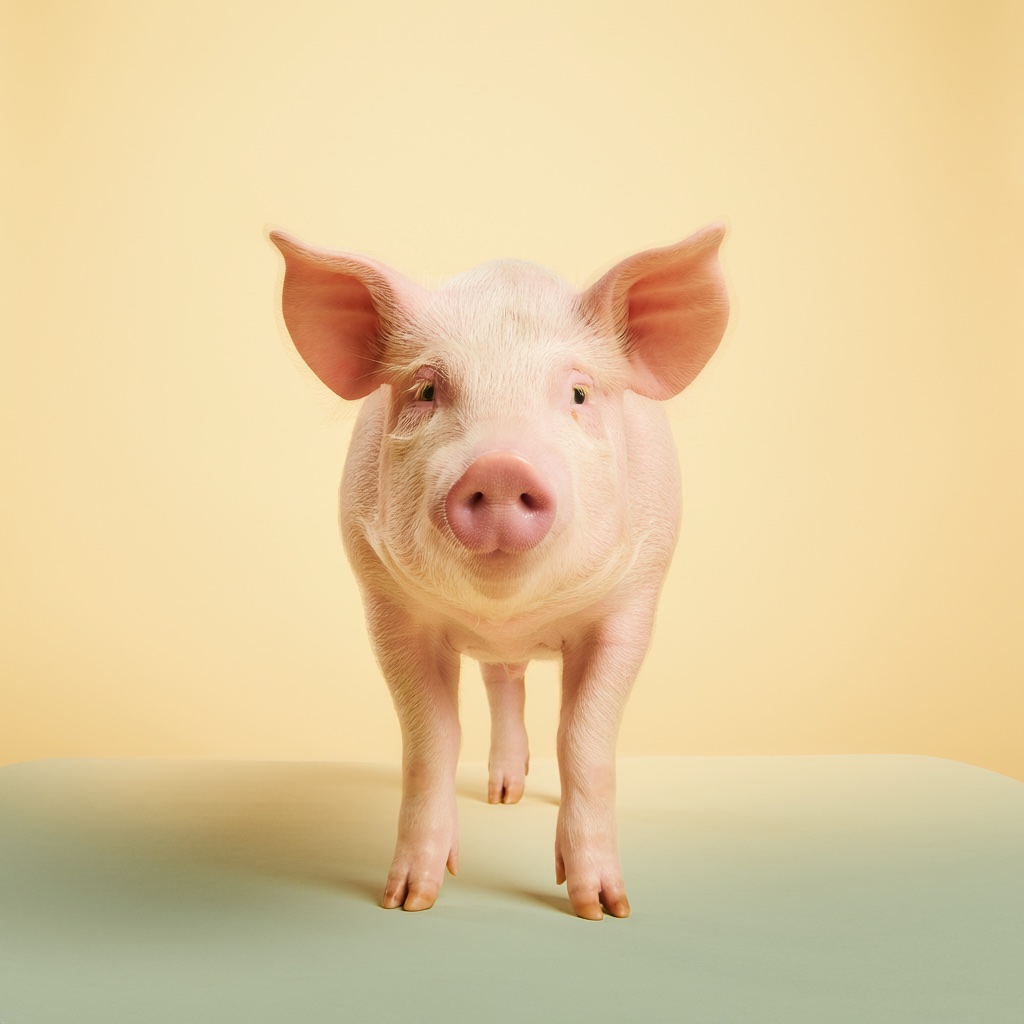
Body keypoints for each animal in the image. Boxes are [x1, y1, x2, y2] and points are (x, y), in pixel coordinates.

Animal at [270, 224, 728, 919]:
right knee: (501, 682)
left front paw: (603, 909)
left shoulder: (632, 604)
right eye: (426, 390)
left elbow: (584, 740)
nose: (502, 467)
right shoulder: (389, 609)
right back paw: (502, 795)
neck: (509, 614)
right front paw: (407, 901)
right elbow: (431, 742)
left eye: (579, 393)